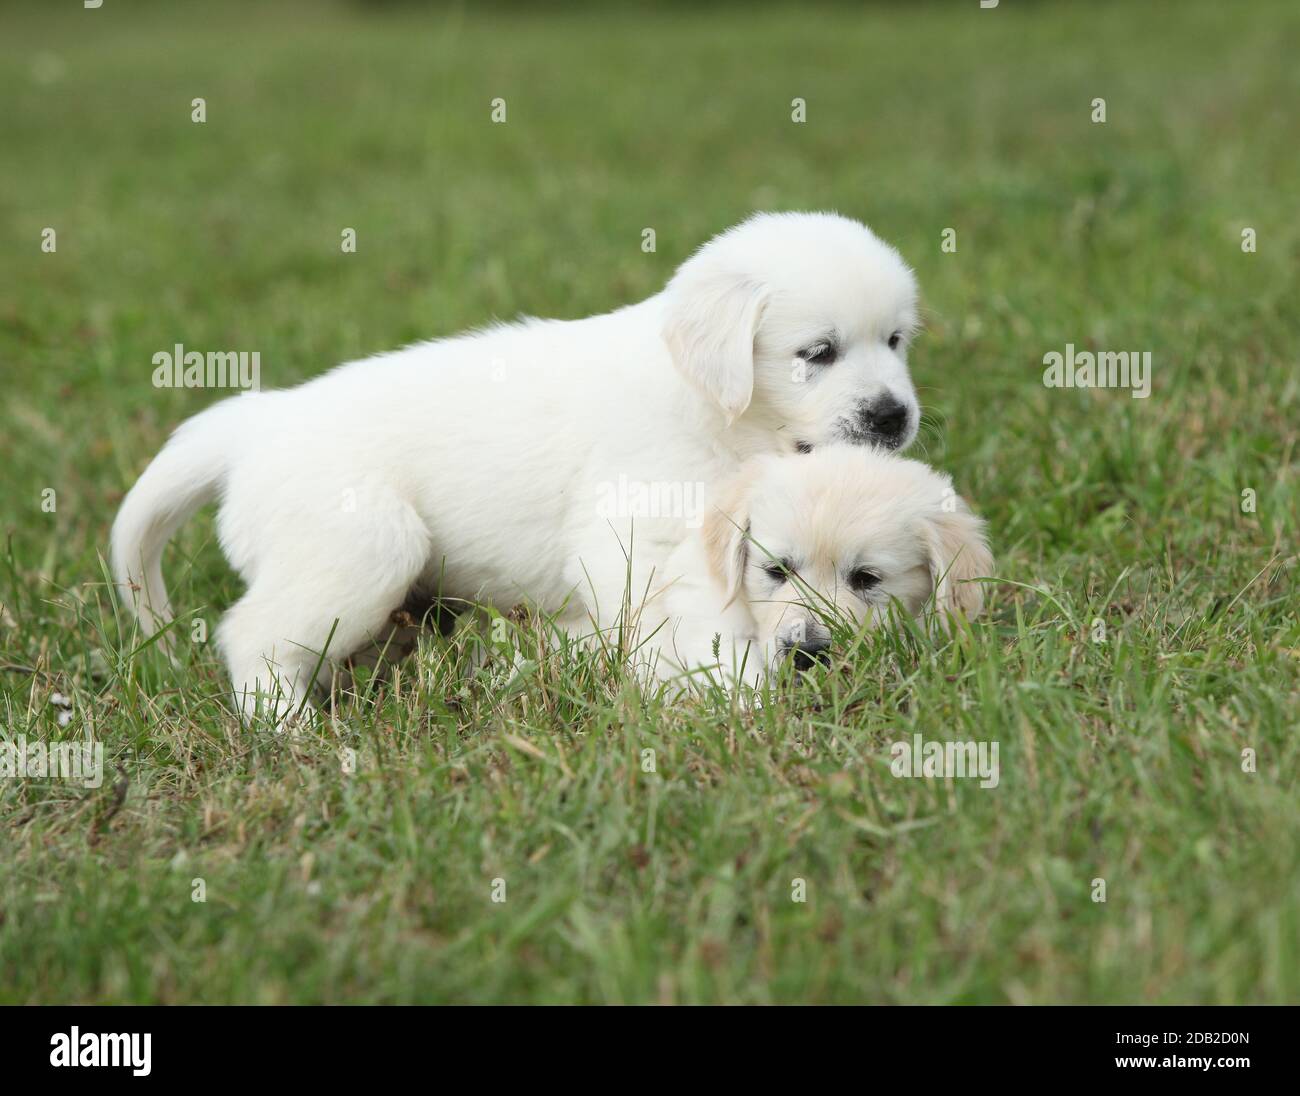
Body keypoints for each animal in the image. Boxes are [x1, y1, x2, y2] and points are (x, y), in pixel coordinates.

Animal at [111, 211, 925, 717]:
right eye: (817, 353)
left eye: (895, 340)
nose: (894, 417)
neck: (715, 407)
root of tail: (257, 423)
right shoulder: (641, 534)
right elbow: (693, 623)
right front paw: (728, 694)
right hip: (362, 546)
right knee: (252, 638)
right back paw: (288, 729)